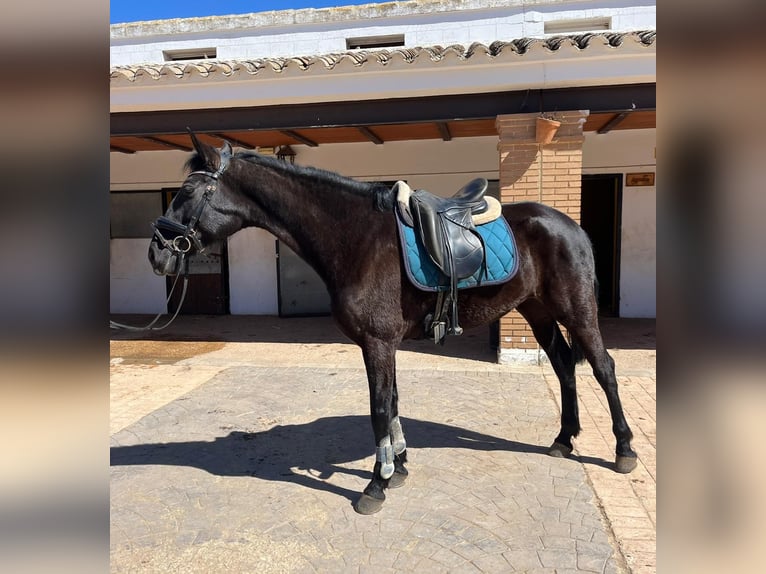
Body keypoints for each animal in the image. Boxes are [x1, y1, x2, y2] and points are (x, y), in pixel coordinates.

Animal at [148, 134, 637, 515]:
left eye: (187, 192)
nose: (157, 254)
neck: (356, 238)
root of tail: (570, 225)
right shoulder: (385, 344)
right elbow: (394, 401)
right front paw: (399, 466)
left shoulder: (377, 342)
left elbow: (379, 407)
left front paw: (376, 484)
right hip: (537, 311)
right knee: (564, 366)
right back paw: (564, 439)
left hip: (576, 310)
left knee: (603, 369)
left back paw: (624, 449)